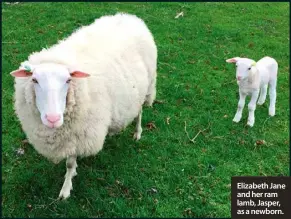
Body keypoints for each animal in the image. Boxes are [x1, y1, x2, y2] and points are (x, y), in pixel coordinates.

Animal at [10, 12, 159, 199]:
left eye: (68, 80)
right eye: (34, 80)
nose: (53, 118)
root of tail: (129, 17)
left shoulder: (79, 132)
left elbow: (69, 164)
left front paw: (66, 188)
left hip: (146, 87)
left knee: (139, 112)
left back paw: (138, 133)